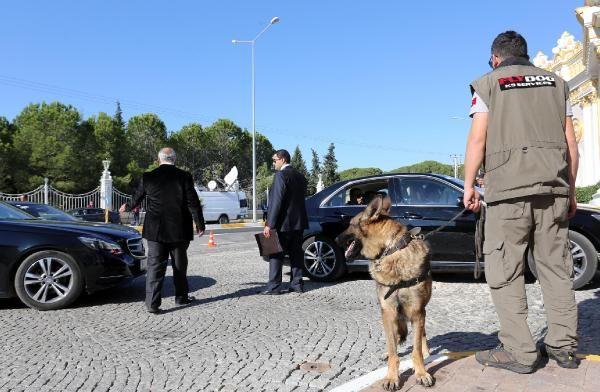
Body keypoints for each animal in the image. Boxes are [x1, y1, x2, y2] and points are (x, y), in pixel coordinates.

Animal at [338, 196, 432, 388]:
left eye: (350, 224)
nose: (335, 239)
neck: (391, 250)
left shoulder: (417, 312)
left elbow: (416, 349)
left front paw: (421, 372)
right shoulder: (387, 312)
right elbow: (393, 348)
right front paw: (392, 376)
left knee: (422, 335)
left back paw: (426, 351)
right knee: (393, 339)